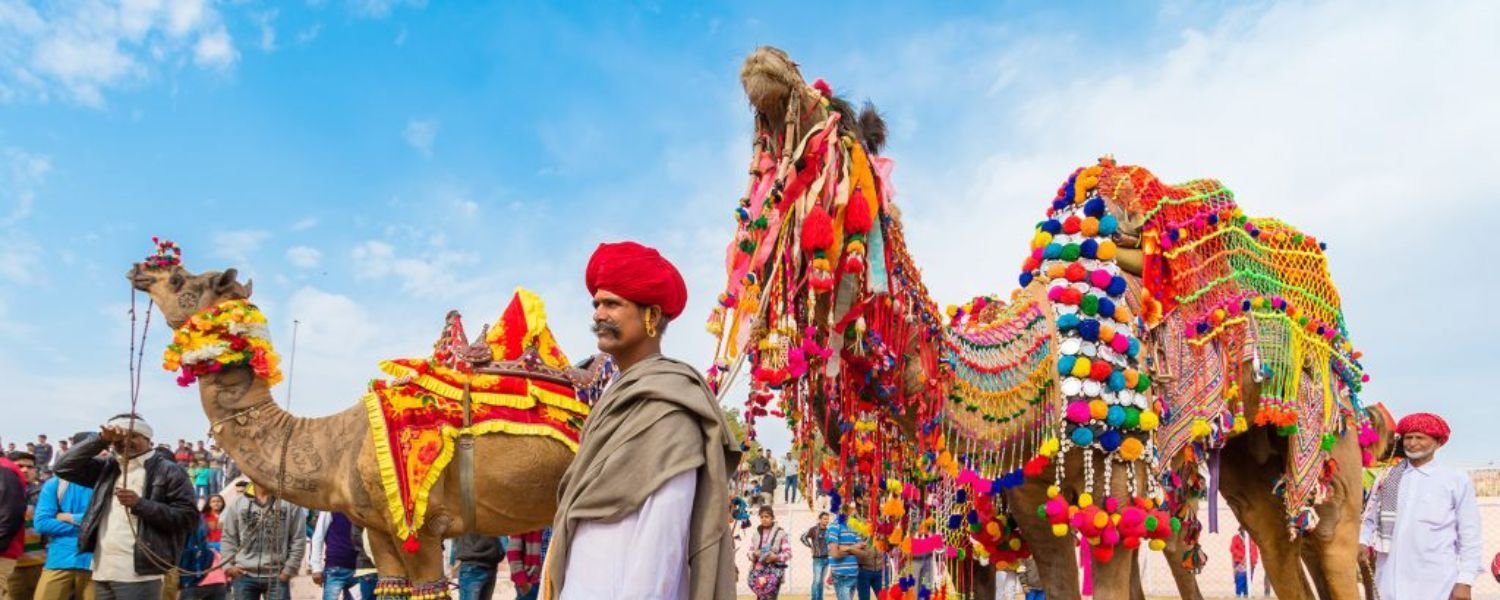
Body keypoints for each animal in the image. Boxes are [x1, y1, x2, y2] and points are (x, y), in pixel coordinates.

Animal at [123, 244, 603, 600]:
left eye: (181, 280)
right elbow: (390, 586)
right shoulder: (380, 530)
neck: (337, 444)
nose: (141, 267)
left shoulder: (422, 526)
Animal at [708, 48, 1374, 600]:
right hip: (1246, 451)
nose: (767, 63)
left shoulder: (1116, 484)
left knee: (1327, 537)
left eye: (840, 113)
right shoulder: (1030, 506)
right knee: (1272, 530)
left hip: (1325, 429)